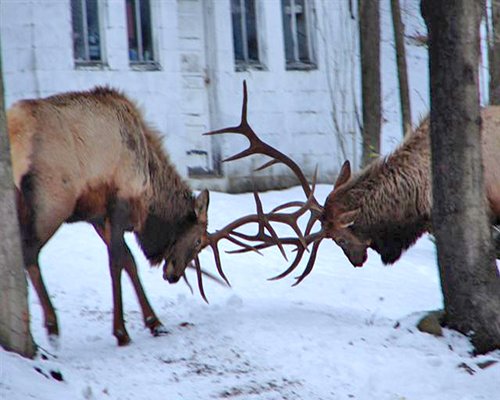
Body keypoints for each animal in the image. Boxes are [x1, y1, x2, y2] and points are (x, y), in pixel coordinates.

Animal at [7, 87, 229, 346]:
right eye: (197, 241)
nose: (173, 275)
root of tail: (15, 128)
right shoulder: (120, 203)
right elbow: (115, 262)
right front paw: (121, 332)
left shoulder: (97, 215)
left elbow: (128, 260)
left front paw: (155, 323)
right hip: (51, 201)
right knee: (29, 251)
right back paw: (52, 327)